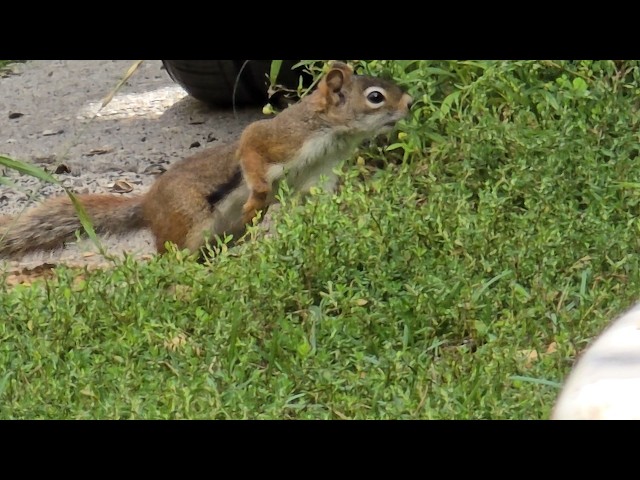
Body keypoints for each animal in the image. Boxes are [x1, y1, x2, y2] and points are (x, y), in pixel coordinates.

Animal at [0, 61, 413, 258]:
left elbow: (319, 198)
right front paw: (258, 196)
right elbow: (250, 150)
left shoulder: (320, 174)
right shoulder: (277, 137)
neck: (329, 135)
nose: (410, 103)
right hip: (190, 220)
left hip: (223, 231)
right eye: (375, 97)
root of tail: (148, 206)